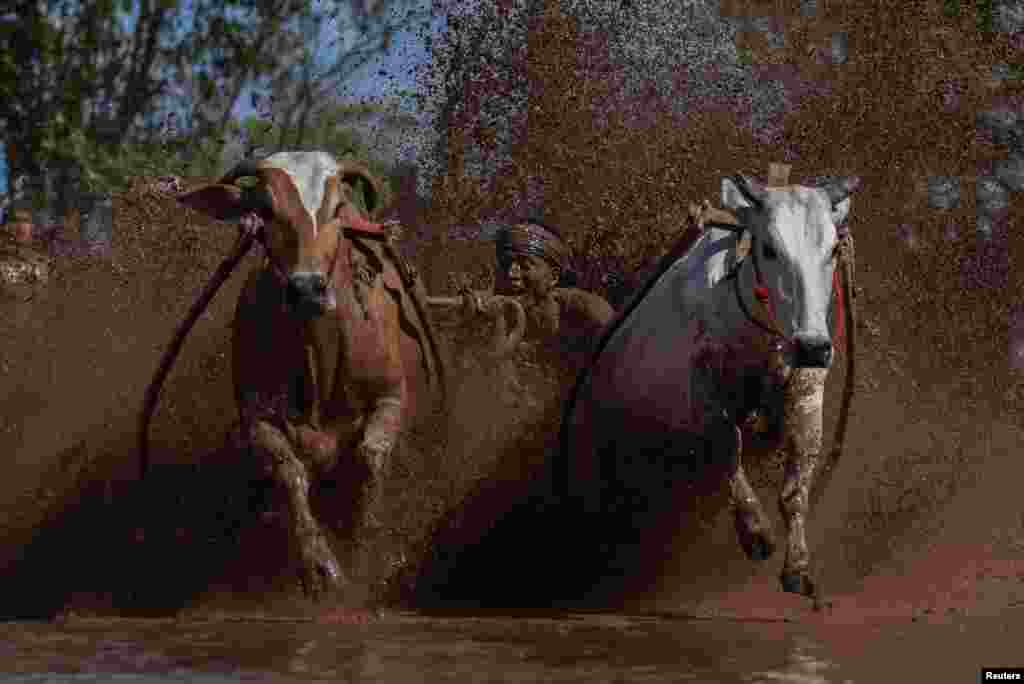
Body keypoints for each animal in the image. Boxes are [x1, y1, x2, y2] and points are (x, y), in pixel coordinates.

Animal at [140, 152, 448, 593]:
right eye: (266, 208)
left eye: (337, 208)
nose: (306, 289)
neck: (321, 356)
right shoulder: (256, 415)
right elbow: (289, 469)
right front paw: (319, 564)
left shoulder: (391, 396)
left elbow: (371, 455)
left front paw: (362, 540)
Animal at [565, 174, 860, 606]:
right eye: (769, 248)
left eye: (834, 249)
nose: (812, 346)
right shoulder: (701, 385)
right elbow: (727, 446)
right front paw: (756, 531)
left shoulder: (806, 386)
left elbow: (796, 485)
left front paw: (797, 568)